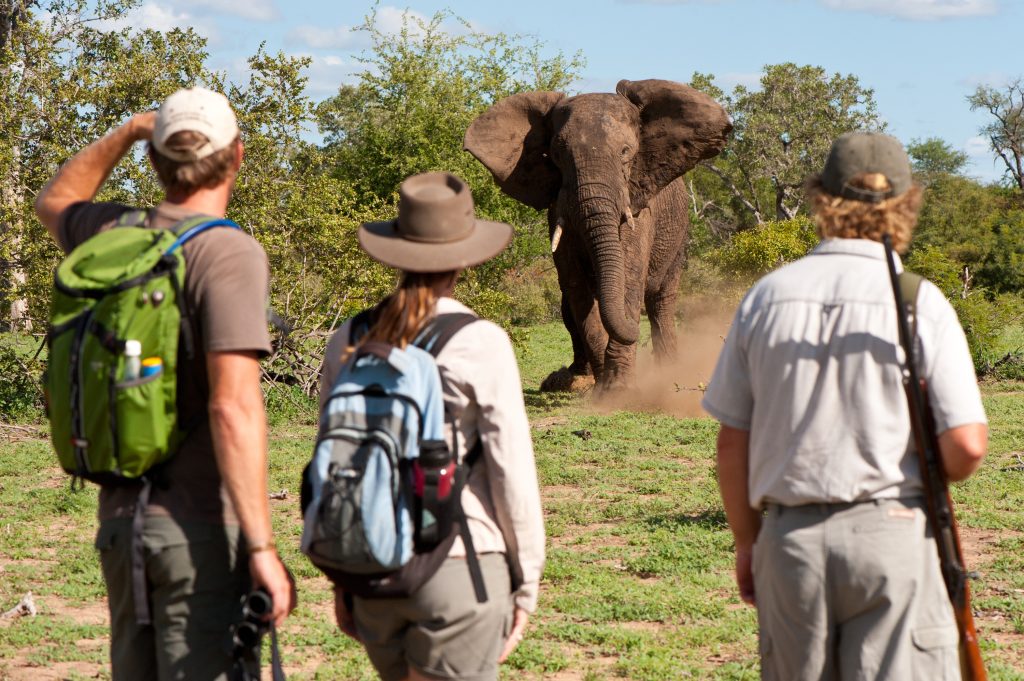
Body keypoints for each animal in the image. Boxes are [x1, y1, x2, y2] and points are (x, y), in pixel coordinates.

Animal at [464, 79, 732, 389]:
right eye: (557, 155)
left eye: (626, 152)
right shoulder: (558, 210)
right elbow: (577, 288)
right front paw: (603, 386)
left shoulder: (639, 210)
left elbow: (628, 278)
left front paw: (617, 389)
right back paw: (573, 377)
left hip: (679, 235)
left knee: (661, 301)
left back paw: (668, 371)